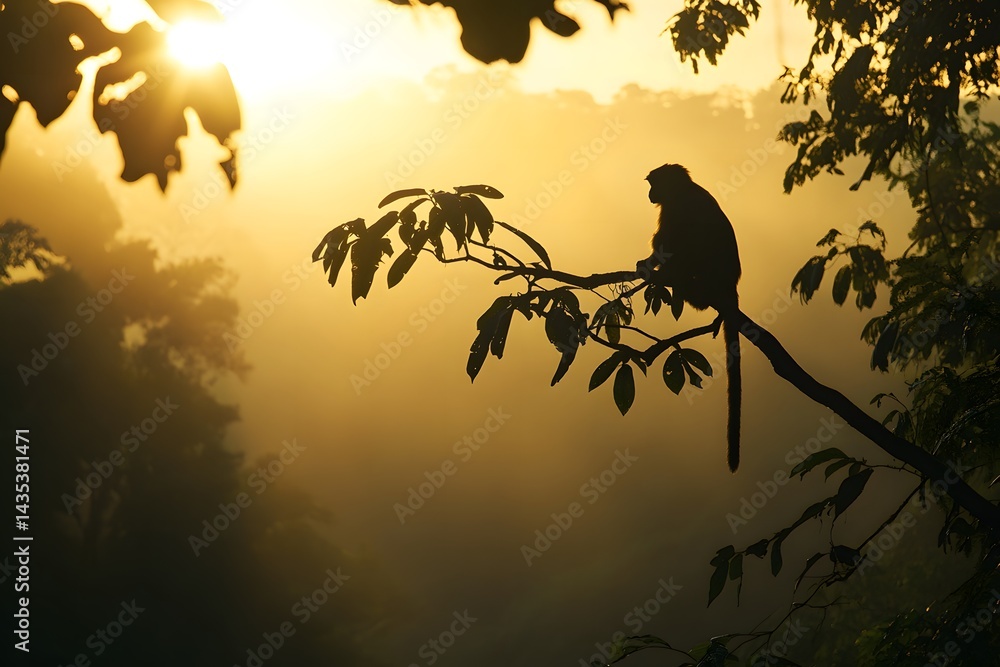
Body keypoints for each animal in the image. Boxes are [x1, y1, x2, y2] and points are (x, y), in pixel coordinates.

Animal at [639, 163, 743, 472]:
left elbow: (669, 242)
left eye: (653, 184)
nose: (649, 193)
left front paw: (652, 267)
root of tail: (729, 284)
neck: (682, 190)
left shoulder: (676, 207)